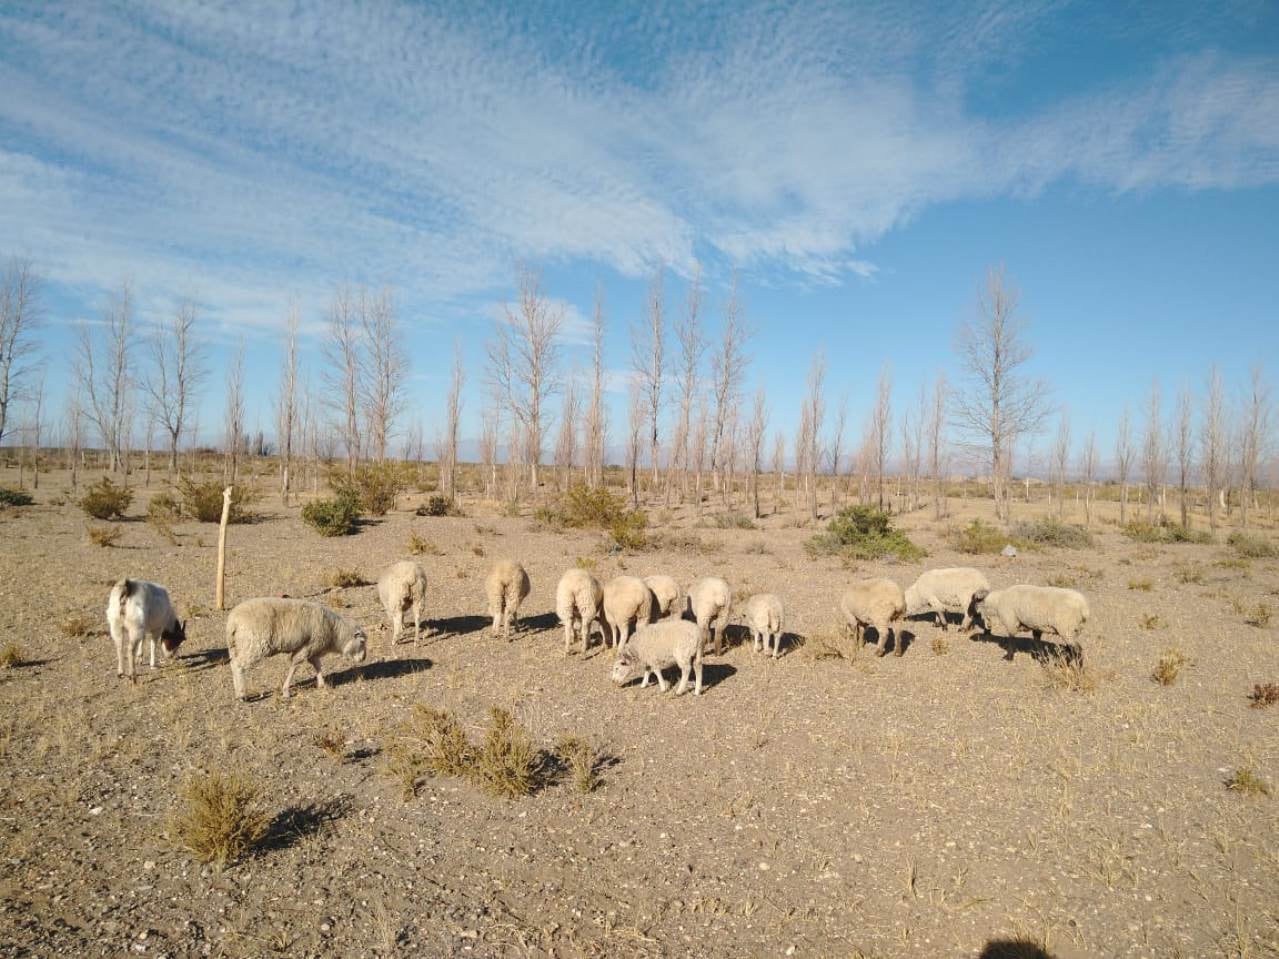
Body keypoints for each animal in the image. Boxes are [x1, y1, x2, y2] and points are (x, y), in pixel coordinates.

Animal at [222, 598, 365, 700]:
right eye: (362, 642)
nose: (363, 658)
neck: (334, 631)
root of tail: (233, 621)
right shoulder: (308, 646)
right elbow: (295, 665)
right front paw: (286, 691)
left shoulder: (313, 648)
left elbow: (317, 665)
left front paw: (321, 684)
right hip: (254, 645)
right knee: (238, 665)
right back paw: (242, 695)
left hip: (236, 646)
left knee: (233, 664)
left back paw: (238, 692)